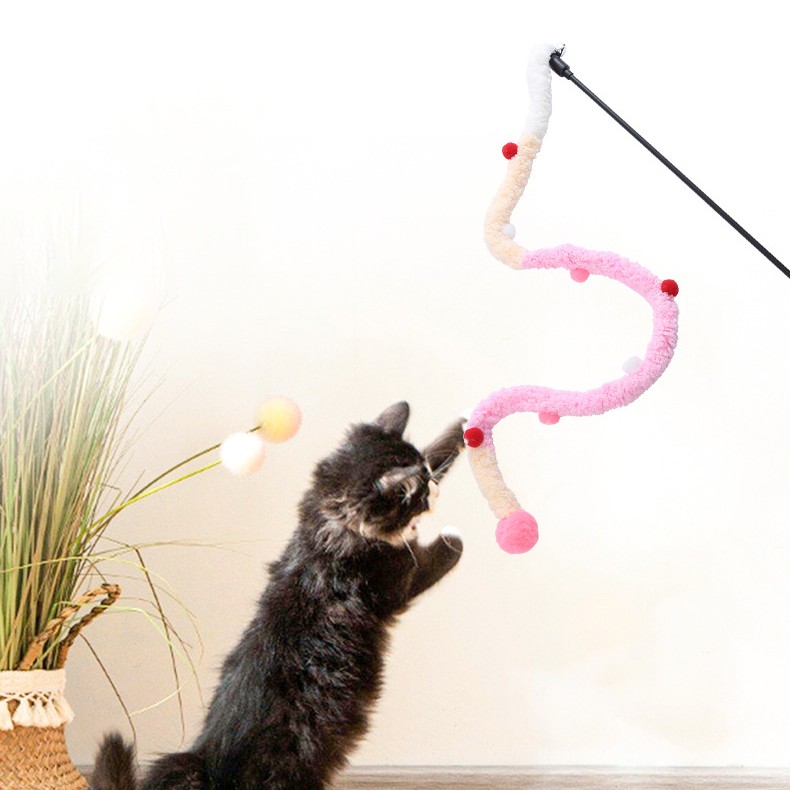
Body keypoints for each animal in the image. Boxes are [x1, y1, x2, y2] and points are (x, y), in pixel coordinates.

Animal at [92, 401, 465, 789]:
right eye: (417, 493)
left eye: (428, 478)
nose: (434, 491)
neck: (324, 530)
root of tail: (208, 764)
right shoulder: (399, 580)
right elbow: (443, 553)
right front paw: (453, 536)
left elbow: (439, 448)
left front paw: (463, 427)